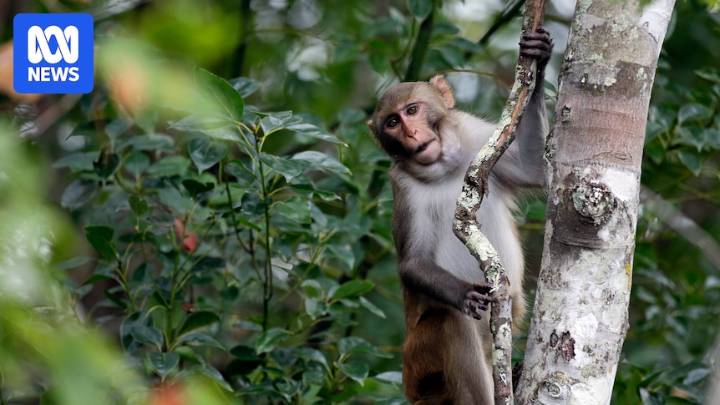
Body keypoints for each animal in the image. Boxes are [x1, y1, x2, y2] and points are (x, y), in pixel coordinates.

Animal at [367, 29, 553, 404]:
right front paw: (463, 293)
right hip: (419, 363)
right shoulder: (403, 187)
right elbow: (413, 263)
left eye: (412, 110)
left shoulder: (478, 136)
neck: (444, 169)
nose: (411, 134)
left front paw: (539, 60)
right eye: (392, 122)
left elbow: (536, 168)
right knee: (450, 323)